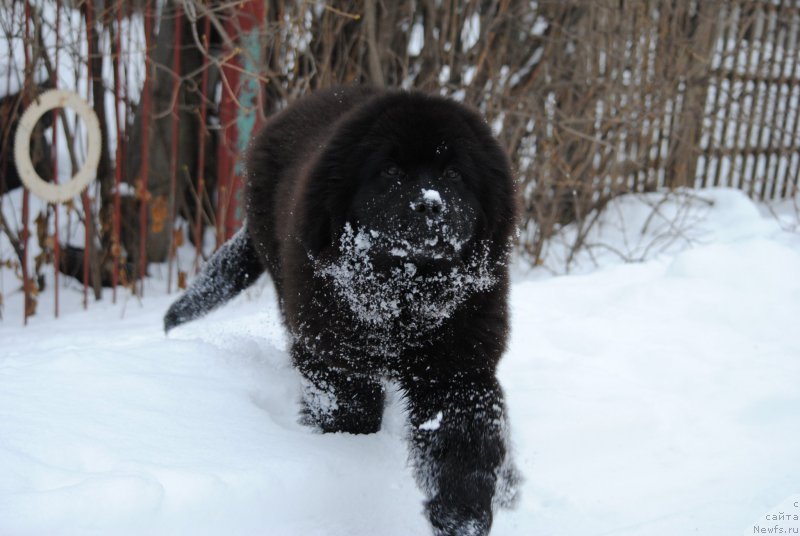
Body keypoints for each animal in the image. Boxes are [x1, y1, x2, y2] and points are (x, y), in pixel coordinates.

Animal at [166, 88, 520, 536]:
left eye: (455, 175)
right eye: (390, 171)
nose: (429, 206)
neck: (403, 295)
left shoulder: (458, 365)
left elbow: (464, 439)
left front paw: (464, 515)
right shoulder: (334, 354)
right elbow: (351, 410)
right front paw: (347, 449)